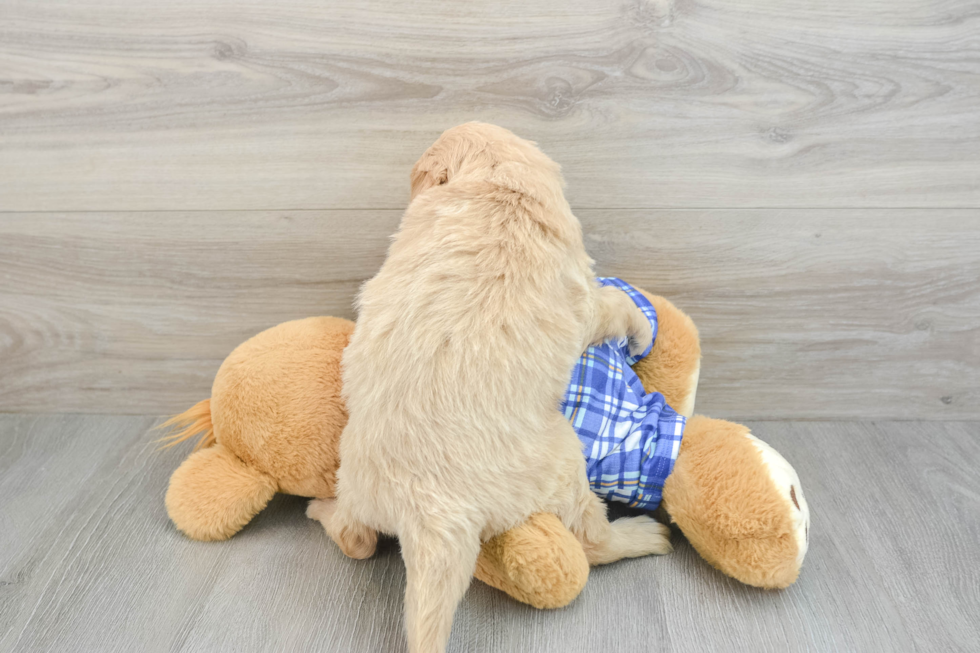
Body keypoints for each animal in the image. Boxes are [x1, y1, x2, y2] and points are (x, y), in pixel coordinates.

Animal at [310, 123, 668, 652]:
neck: (495, 181)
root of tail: (429, 513)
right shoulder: (581, 299)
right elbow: (615, 302)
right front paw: (641, 333)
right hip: (564, 463)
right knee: (591, 541)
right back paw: (643, 536)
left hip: (355, 479)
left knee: (358, 540)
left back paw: (321, 510)